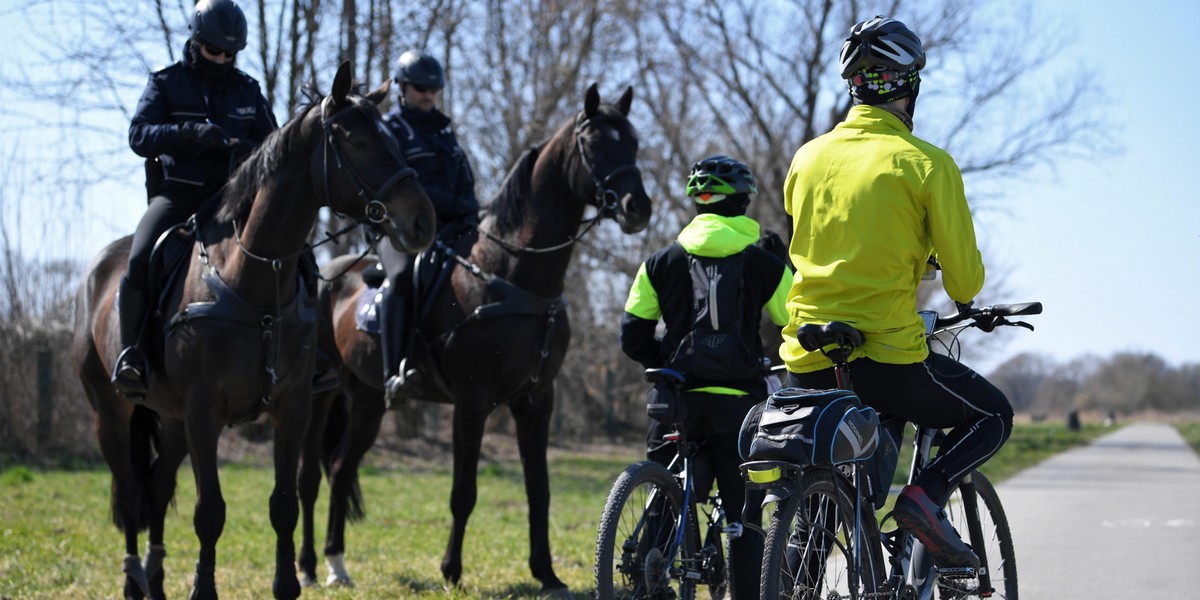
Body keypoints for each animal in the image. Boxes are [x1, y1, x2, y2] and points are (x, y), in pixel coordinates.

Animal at [73, 62, 436, 600]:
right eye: (357, 141)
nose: (422, 221)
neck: (252, 279)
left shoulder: (292, 407)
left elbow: (283, 504)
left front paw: (288, 583)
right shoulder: (204, 412)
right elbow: (209, 512)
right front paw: (203, 589)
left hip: (174, 421)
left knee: (157, 487)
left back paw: (155, 577)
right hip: (113, 413)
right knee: (131, 487)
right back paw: (135, 577)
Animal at [300, 84, 652, 595]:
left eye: (633, 142)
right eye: (594, 143)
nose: (637, 207)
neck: (511, 273)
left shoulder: (536, 400)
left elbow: (539, 489)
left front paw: (546, 573)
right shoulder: (471, 400)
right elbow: (463, 491)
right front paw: (451, 570)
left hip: (365, 400)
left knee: (342, 468)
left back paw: (336, 563)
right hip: (318, 398)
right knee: (308, 475)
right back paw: (308, 566)